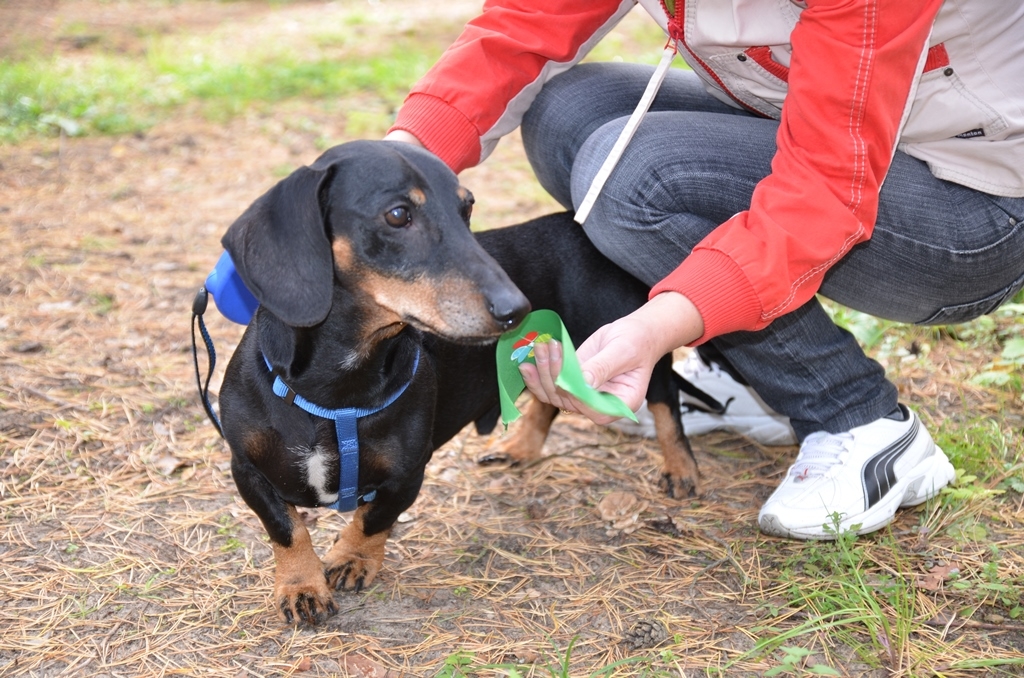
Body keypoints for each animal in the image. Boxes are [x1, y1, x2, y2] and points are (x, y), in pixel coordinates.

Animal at [214, 142, 696, 626]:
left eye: (467, 208)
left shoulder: (408, 473)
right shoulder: (246, 468)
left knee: (665, 400)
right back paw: (520, 448)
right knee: (550, 400)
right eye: (397, 215)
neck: (335, 391)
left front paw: (353, 558)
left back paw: (680, 468)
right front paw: (301, 586)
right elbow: (287, 528)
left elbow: (373, 519)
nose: (517, 309)